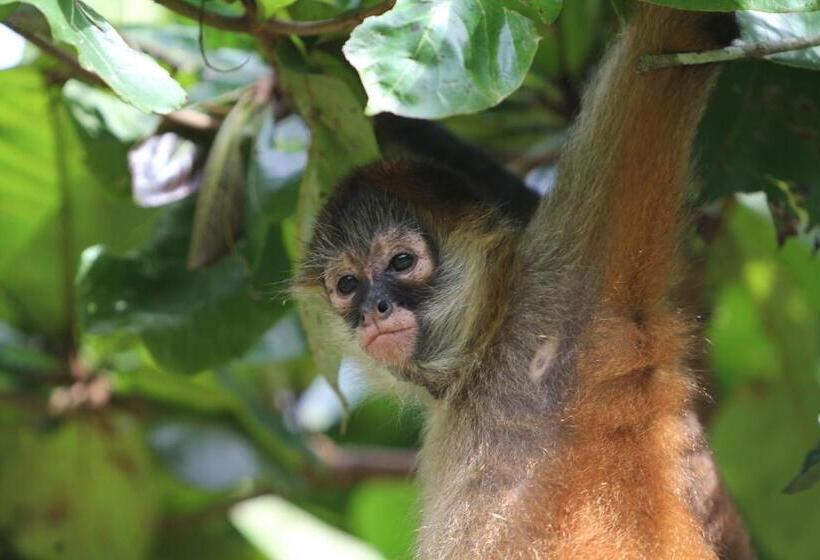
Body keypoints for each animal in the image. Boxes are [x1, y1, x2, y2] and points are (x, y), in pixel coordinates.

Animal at [296, 4, 754, 559]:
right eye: (347, 285)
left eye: (401, 262)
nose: (373, 309)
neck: (485, 351)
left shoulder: (568, 284)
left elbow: (674, 39)